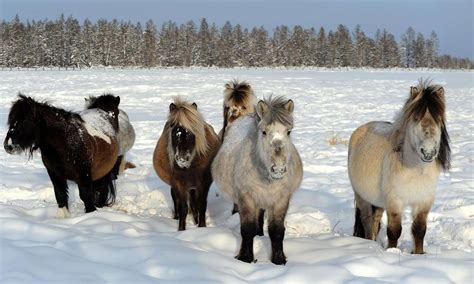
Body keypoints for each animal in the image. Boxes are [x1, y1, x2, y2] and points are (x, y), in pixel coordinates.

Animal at [153, 97, 221, 231]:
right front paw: (181, 230)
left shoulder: (203, 183)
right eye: (174, 130)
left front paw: (201, 226)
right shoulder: (178, 184)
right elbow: (183, 208)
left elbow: (201, 205)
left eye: (192, 131)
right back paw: (176, 217)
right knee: (176, 200)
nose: (182, 158)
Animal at [212, 96, 302, 266]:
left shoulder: (280, 200)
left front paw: (278, 260)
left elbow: (277, 231)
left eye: (288, 132)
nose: (278, 169)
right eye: (264, 132)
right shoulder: (247, 198)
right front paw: (245, 258)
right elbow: (247, 229)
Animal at [348, 79, 452, 253]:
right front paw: (392, 252)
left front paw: (418, 254)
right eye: (415, 118)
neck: (416, 170)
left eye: (438, 119)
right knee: (367, 220)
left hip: (377, 201)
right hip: (361, 196)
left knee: (375, 220)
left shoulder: (424, 201)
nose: (428, 152)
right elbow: (394, 231)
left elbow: (419, 230)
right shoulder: (395, 201)